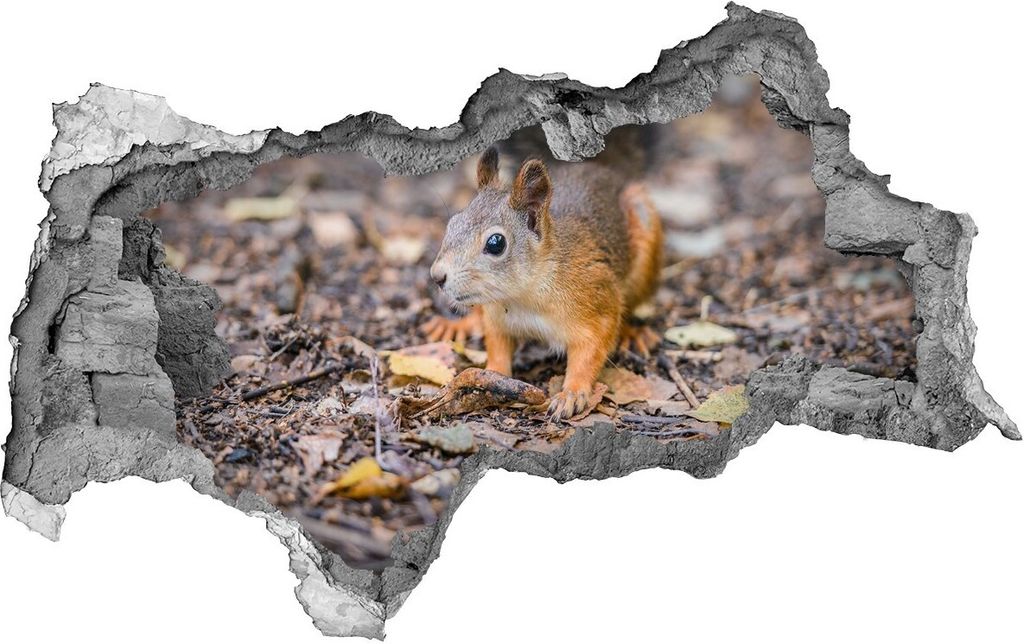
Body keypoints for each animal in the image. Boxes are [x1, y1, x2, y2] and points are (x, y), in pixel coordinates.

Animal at [423, 134, 663, 420]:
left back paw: (631, 334)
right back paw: (459, 325)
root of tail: (601, 169)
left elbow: (591, 351)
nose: (437, 276)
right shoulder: (496, 318)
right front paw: (492, 376)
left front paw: (571, 393)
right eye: (452, 225)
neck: (524, 296)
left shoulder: (597, 299)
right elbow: (498, 347)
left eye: (496, 243)